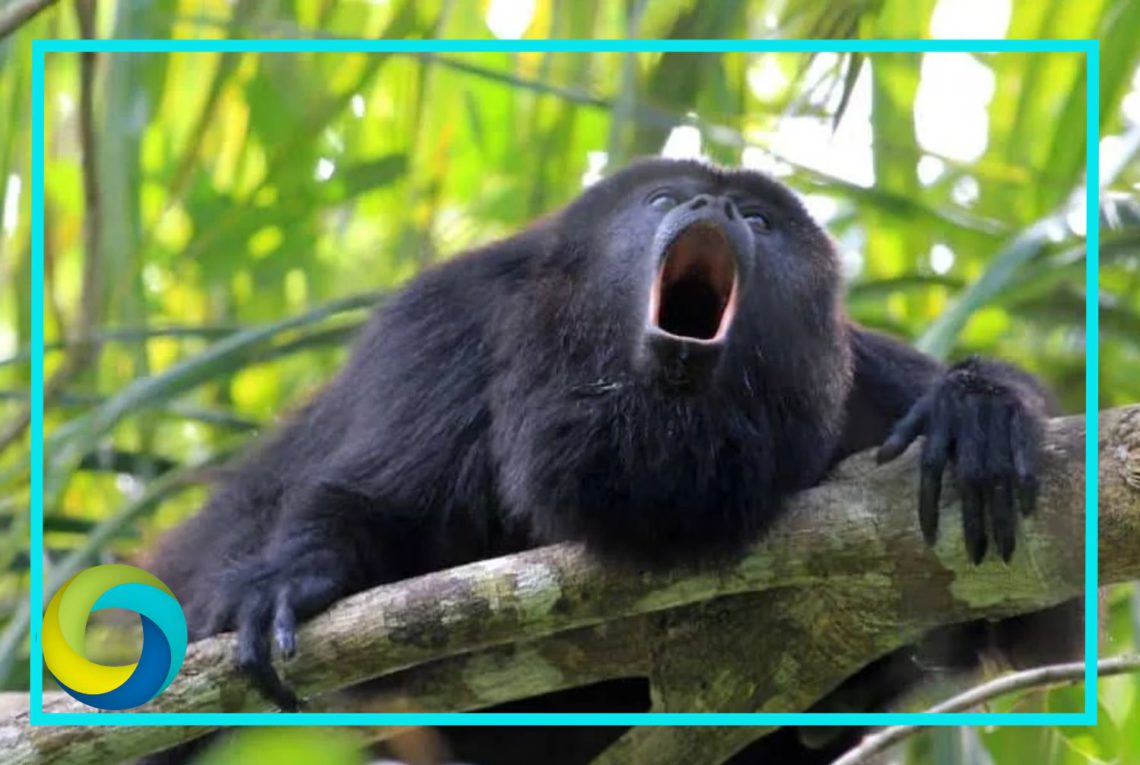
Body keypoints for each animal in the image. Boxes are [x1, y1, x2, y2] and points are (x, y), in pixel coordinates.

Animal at [144, 158, 1079, 764]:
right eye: (666, 197)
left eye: (759, 220)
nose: (712, 204)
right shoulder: (446, 323)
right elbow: (375, 504)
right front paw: (292, 577)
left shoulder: (859, 387)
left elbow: (1032, 615)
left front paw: (976, 409)